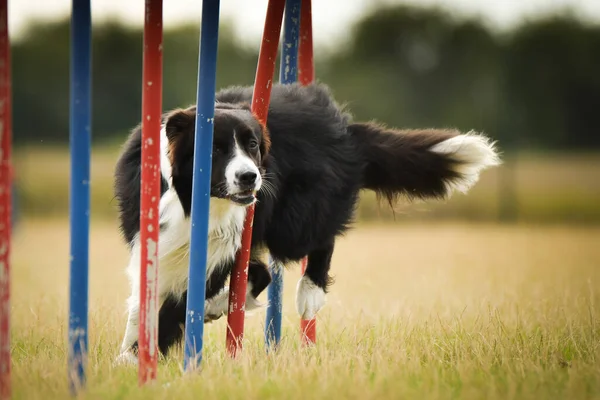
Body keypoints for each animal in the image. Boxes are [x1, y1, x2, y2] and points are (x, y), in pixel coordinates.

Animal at [113, 82, 502, 362]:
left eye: (252, 145)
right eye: (216, 149)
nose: (250, 177)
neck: (195, 202)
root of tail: (344, 127)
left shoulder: (214, 251)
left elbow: (172, 308)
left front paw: (134, 361)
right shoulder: (165, 246)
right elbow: (149, 302)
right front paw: (132, 358)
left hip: (294, 218)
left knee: (319, 240)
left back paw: (309, 293)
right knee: (262, 272)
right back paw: (219, 306)